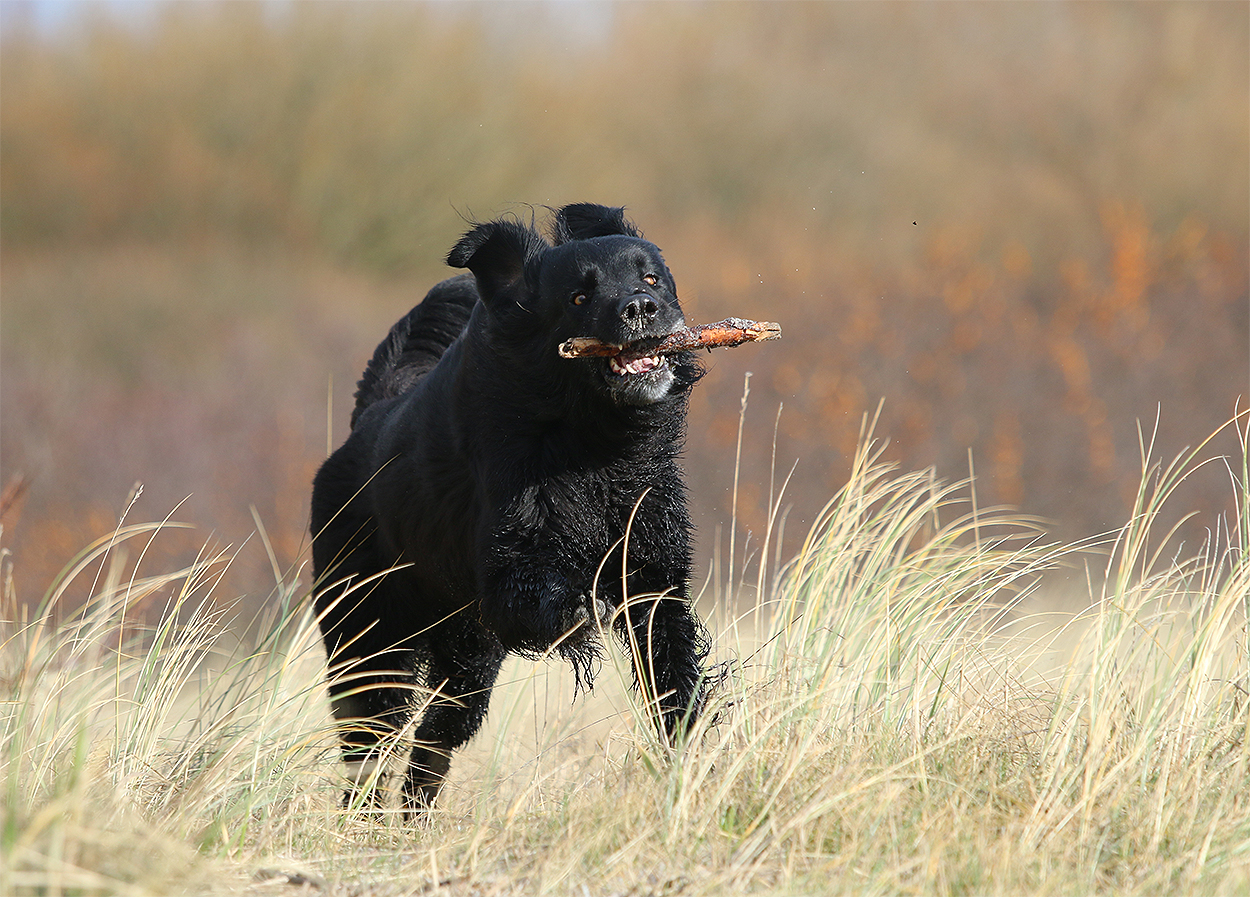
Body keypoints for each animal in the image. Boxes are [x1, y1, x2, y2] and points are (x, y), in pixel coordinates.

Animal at [310, 204, 710, 811]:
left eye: (652, 279)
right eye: (578, 297)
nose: (641, 308)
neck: (594, 448)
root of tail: (361, 430)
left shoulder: (653, 579)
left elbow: (674, 680)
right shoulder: (510, 572)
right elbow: (548, 598)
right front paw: (579, 611)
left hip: (468, 657)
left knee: (434, 740)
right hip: (368, 640)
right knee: (374, 743)